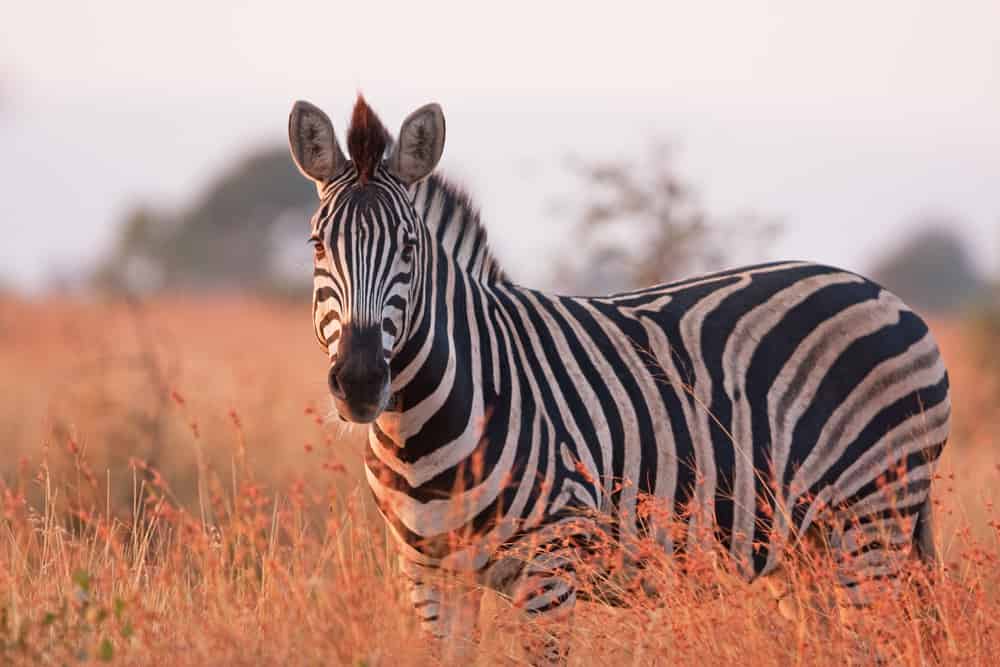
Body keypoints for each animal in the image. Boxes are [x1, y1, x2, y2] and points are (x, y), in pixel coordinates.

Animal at [286, 95, 948, 664]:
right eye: (317, 244)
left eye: (409, 247)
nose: (361, 381)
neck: (422, 429)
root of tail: (888, 297)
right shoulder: (430, 576)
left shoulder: (550, 566)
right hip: (800, 546)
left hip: (869, 520)